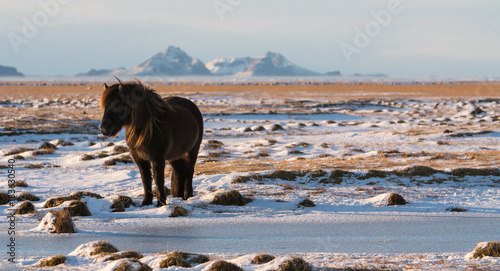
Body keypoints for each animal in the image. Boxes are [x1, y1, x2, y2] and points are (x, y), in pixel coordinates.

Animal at [99, 79, 203, 207]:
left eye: (118, 104)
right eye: (104, 106)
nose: (104, 129)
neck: (148, 128)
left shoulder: (158, 158)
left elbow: (158, 179)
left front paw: (161, 203)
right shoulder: (140, 159)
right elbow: (145, 179)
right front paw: (146, 202)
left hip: (192, 150)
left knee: (189, 170)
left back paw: (187, 195)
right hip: (175, 155)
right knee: (179, 171)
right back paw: (178, 195)